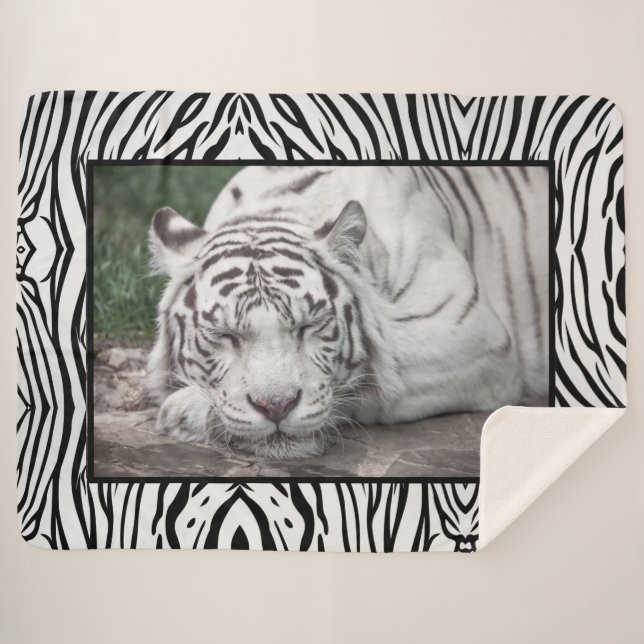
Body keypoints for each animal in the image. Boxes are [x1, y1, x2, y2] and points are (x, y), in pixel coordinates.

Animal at [146, 165, 549, 459]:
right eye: (225, 335)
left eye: (309, 326)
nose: (276, 406)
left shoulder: (472, 333)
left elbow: (381, 377)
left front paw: (184, 411)